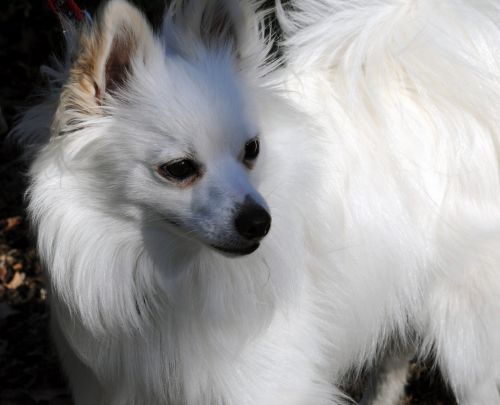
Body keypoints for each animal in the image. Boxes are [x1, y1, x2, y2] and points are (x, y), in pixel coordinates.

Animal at [10, 0, 500, 402]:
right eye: (178, 169)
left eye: (252, 150)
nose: (260, 222)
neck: (170, 273)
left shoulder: (268, 386)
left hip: (468, 339)